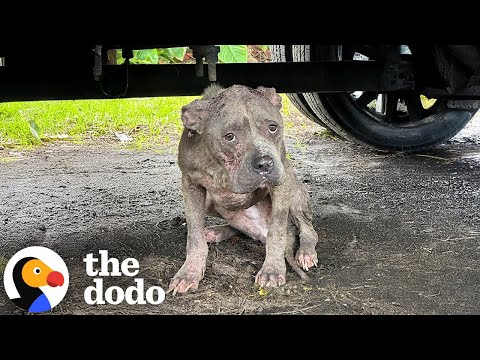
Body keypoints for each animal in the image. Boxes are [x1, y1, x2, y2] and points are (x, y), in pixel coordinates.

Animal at [169, 84, 318, 296]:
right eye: (229, 137)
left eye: (272, 127)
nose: (265, 163)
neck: (219, 167)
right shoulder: (190, 185)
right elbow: (195, 236)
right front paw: (189, 273)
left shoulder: (282, 181)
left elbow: (277, 231)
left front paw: (272, 271)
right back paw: (217, 231)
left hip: (294, 190)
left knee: (307, 229)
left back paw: (306, 252)